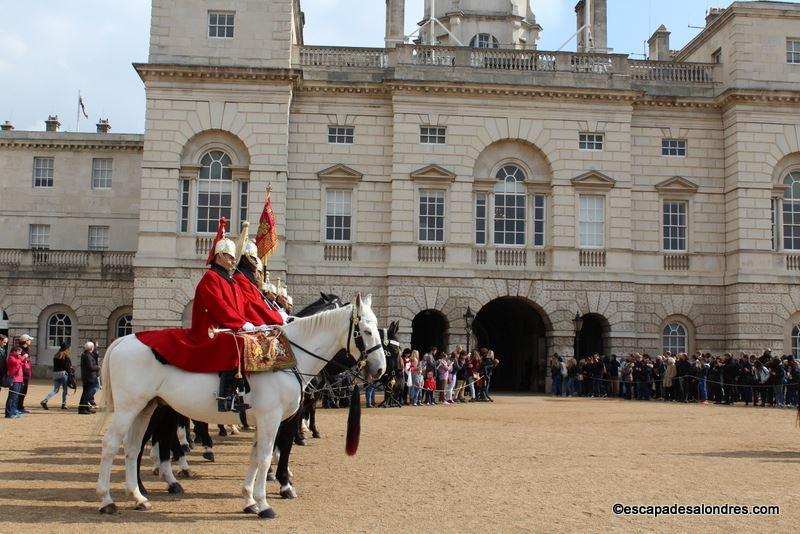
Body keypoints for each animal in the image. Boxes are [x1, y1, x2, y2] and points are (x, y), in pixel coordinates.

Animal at [97, 296, 384, 520]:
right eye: (366, 331)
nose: (380, 369)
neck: (292, 357)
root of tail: (124, 340)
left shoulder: (267, 419)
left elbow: (256, 456)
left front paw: (250, 500)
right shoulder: (272, 418)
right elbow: (269, 455)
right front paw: (268, 500)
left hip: (149, 407)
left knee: (135, 446)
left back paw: (139, 494)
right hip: (130, 407)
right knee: (113, 444)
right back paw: (108, 499)